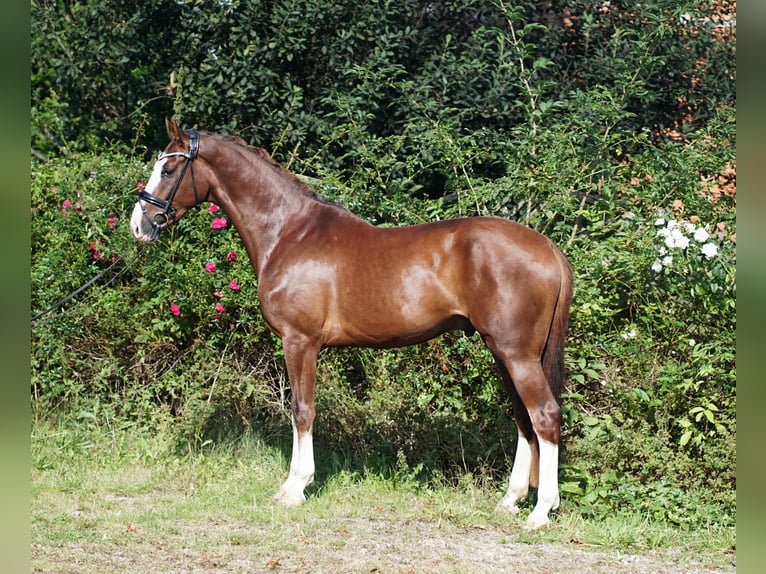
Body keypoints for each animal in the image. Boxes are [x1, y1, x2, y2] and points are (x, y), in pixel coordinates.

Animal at [132, 120, 572, 532]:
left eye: (168, 170)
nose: (140, 225)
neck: (289, 232)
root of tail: (547, 247)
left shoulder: (300, 342)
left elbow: (302, 411)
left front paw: (295, 487)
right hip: (504, 354)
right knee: (524, 420)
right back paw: (510, 501)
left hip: (516, 355)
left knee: (545, 415)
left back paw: (541, 511)